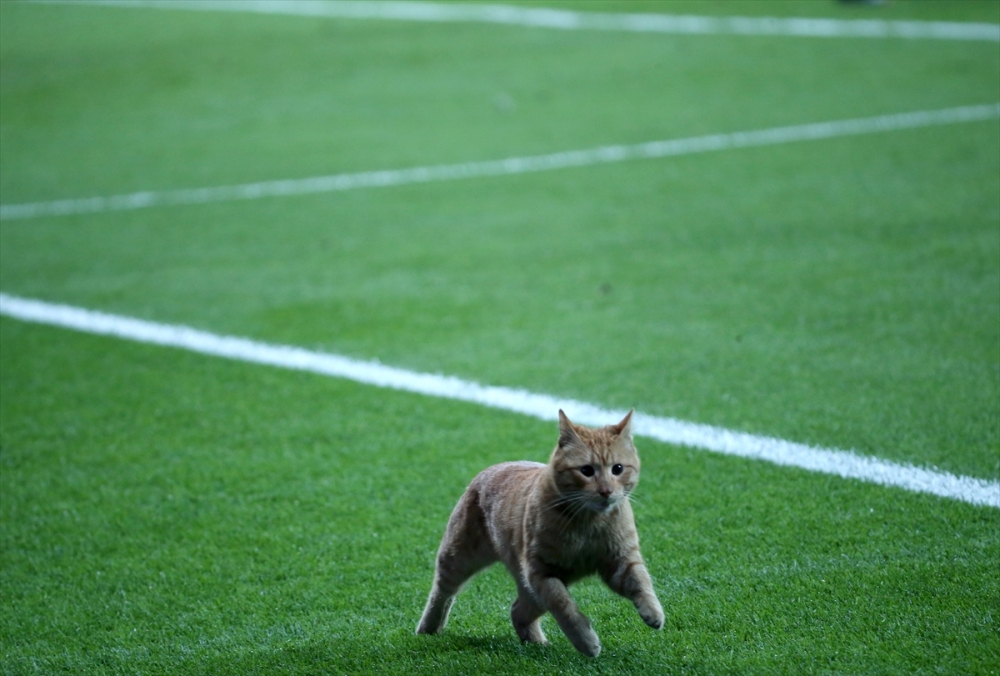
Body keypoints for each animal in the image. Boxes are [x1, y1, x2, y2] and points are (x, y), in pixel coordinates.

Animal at [416, 410, 664, 656]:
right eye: (586, 471)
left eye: (618, 469)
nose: (606, 491)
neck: (588, 523)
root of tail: (496, 466)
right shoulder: (541, 573)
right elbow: (565, 609)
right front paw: (586, 641)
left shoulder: (621, 560)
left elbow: (641, 583)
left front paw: (653, 613)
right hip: (458, 557)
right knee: (441, 593)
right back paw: (428, 628)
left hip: (529, 590)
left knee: (517, 610)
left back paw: (535, 642)